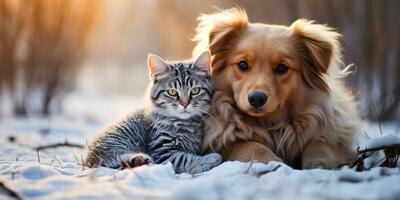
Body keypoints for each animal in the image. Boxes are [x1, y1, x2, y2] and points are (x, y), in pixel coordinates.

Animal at [85, 51, 223, 173]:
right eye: (172, 92)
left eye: (195, 90)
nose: (185, 104)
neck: (183, 124)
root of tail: (89, 158)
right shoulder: (162, 151)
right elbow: (184, 159)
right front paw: (212, 158)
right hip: (118, 143)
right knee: (112, 161)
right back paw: (141, 159)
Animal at [194, 7, 362, 169]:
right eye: (242, 64)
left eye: (282, 68)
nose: (257, 98)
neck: (270, 124)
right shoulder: (221, 143)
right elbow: (251, 146)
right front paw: (273, 162)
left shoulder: (335, 137)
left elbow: (321, 145)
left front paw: (318, 165)